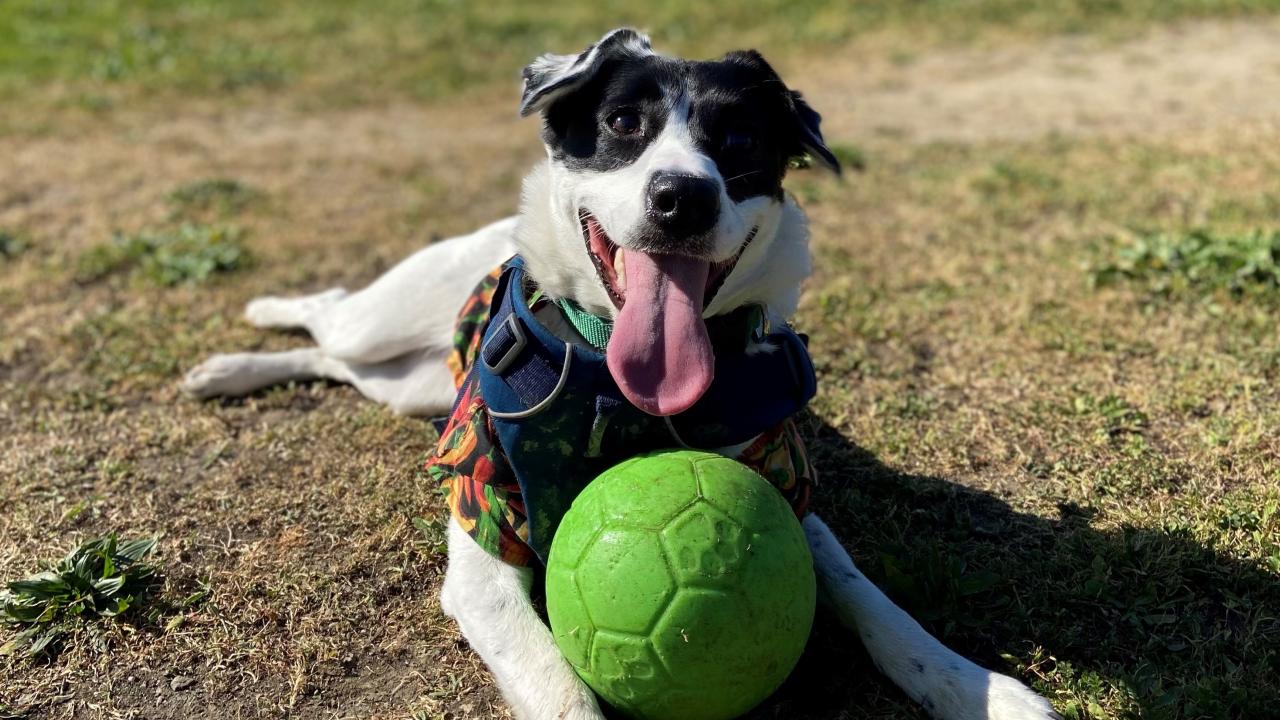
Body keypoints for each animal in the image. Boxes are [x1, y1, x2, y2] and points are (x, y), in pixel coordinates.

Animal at [183, 28, 1059, 717]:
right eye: (622, 123)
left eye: (741, 141)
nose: (683, 197)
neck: (619, 385)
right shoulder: (483, 539)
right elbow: (557, 683)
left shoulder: (782, 483)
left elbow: (870, 599)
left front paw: (973, 686)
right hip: (386, 324)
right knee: (330, 313)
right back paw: (238, 345)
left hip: (406, 386)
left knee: (332, 357)